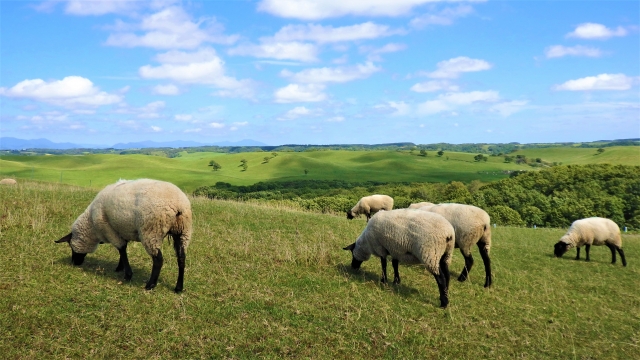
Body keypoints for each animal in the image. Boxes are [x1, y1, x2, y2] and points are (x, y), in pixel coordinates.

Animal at [56, 179, 191, 294]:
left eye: (70, 246)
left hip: (151, 231)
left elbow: (121, 249)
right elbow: (123, 250)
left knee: (158, 260)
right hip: (183, 231)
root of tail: (178, 205)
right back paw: (178, 287)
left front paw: (127, 274)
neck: (92, 226)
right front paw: (121, 267)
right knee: (181, 258)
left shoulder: (110, 230)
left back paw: (150, 285)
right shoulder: (122, 231)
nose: (74, 263)